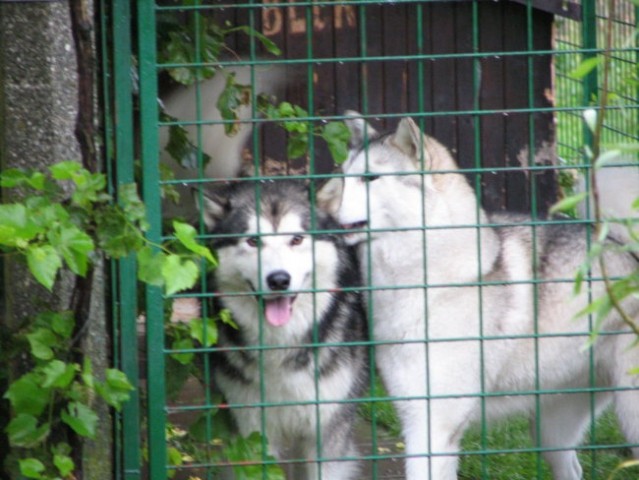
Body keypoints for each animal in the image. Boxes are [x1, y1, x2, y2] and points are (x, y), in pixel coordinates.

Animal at [200, 178, 370, 478]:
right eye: (253, 241)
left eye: (297, 239)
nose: (279, 279)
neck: (281, 345)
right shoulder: (251, 431)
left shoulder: (328, 432)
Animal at [320, 111, 639, 480]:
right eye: (345, 175)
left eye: (370, 178)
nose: (318, 208)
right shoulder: (417, 420)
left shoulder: (435, 428)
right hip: (551, 430)